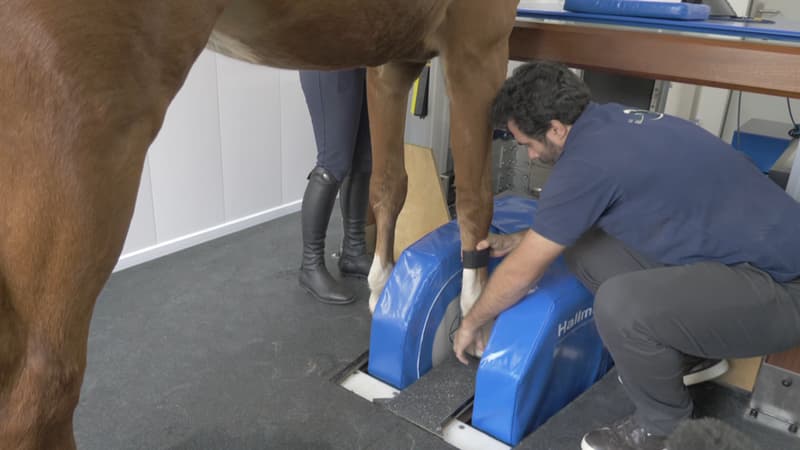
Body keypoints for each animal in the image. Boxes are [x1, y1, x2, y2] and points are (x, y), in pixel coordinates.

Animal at [0, 1, 520, 448]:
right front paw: (474, 317)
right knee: (38, 398)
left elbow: (388, 183)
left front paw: (381, 288)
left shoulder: (392, 63)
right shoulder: (478, 48)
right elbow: (475, 200)